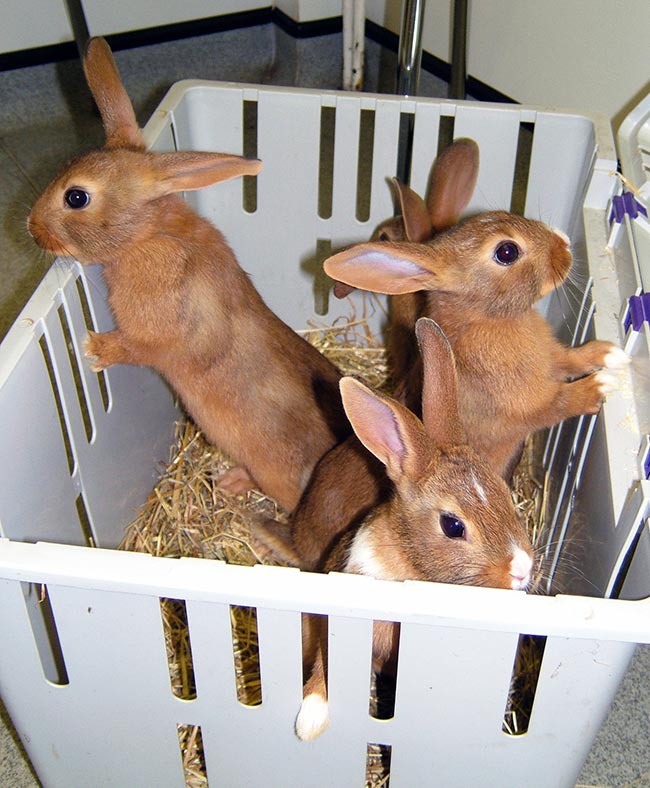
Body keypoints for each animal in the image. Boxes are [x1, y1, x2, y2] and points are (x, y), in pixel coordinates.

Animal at [26, 40, 350, 516]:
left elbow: (139, 347)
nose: (31, 228)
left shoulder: (159, 332)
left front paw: (94, 349)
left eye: (77, 197)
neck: (149, 233)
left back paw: (234, 483)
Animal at [274, 318, 532, 740]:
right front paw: (309, 721)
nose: (523, 570)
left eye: (506, 494)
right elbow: (326, 665)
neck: (410, 570)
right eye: (452, 525)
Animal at [324, 202, 628, 480]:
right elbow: (561, 401)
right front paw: (603, 384)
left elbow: (572, 359)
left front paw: (612, 354)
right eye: (507, 252)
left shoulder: (554, 358)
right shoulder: (527, 403)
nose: (564, 242)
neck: (486, 318)